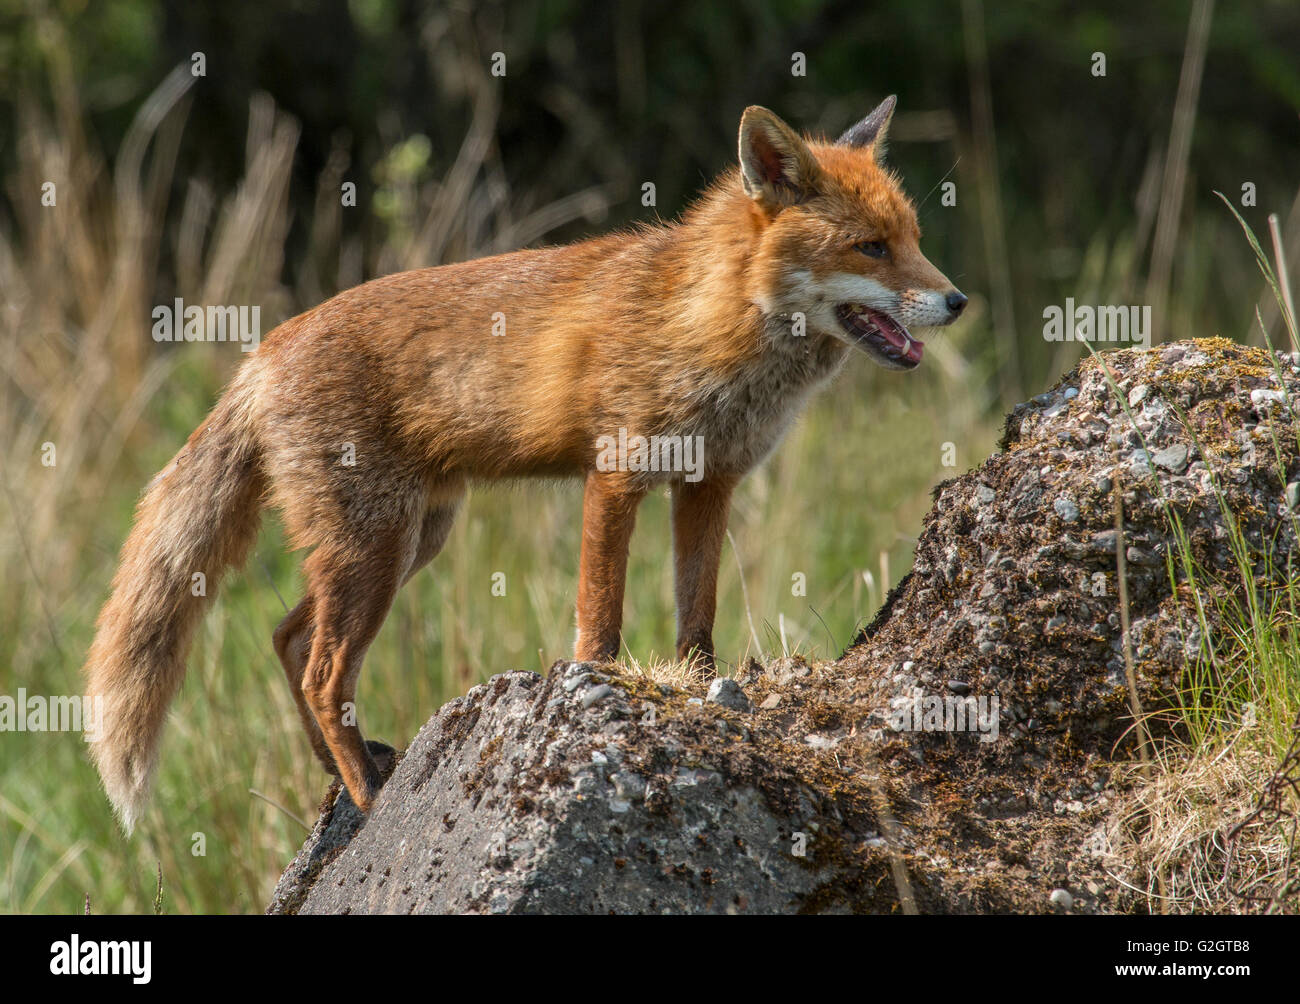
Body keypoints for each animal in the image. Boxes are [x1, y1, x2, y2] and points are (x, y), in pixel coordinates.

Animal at [83, 98, 967, 827]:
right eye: (870, 248)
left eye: (917, 242)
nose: (959, 301)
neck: (706, 320)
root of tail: (261, 353)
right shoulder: (615, 473)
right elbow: (600, 623)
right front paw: (598, 698)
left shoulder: (708, 483)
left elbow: (697, 618)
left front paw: (703, 692)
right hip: (376, 550)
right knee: (322, 673)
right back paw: (368, 798)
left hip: (409, 541)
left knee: (287, 638)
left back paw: (345, 770)